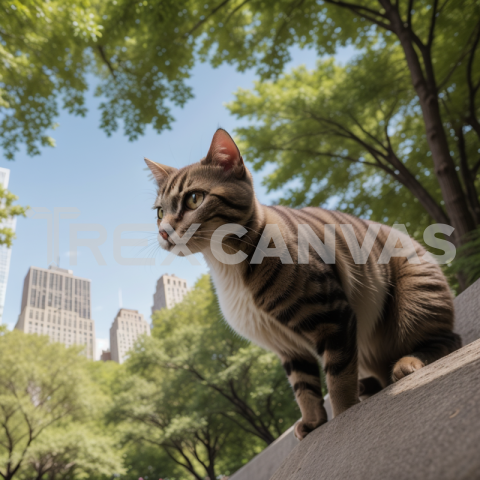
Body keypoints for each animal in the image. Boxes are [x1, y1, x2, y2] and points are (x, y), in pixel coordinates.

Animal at [145, 126, 462, 438]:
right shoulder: (288, 348)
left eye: (194, 199)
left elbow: (338, 375)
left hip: (415, 303)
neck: (225, 264)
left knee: (447, 340)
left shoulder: (333, 318)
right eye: (160, 211)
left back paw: (407, 363)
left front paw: (344, 412)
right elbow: (304, 388)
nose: (163, 231)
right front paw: (313, 421)